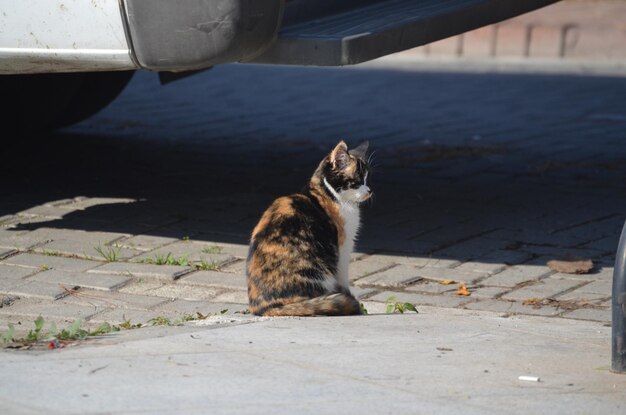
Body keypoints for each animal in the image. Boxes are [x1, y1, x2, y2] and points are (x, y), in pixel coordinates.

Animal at [244, 141, 370, 316]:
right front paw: (346, 292)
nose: (369, 191)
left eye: (366, 178)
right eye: (358, 180)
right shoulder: (343, 247)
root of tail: (265, 307)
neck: (327, 194)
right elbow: (343, 276)